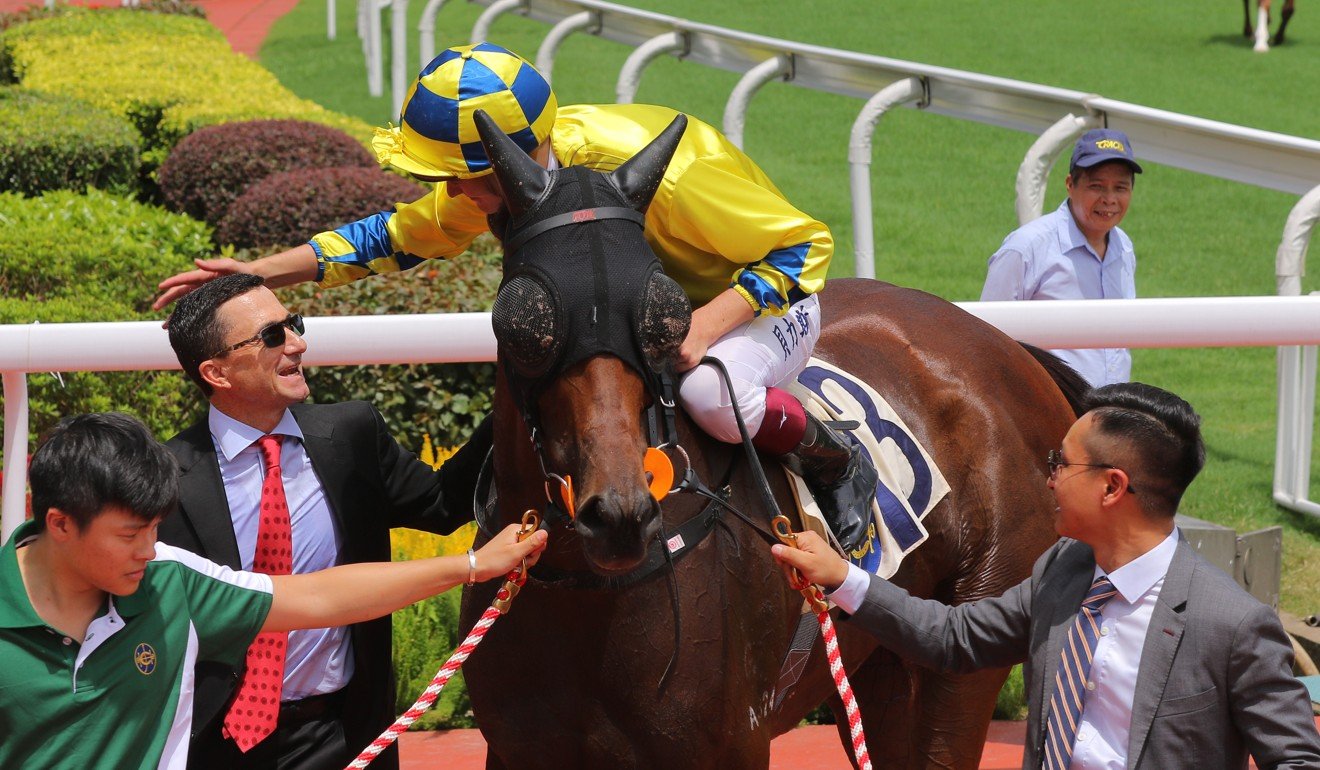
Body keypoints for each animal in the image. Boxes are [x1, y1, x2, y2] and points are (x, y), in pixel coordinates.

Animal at [459, 110, 1087, 770]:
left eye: (666, 318)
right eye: (523, 320)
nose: (620, 516)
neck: (586, 594)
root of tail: (1010, 347)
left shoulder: (730, 744)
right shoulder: (515, 749)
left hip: (971, 631)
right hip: (886, 659)